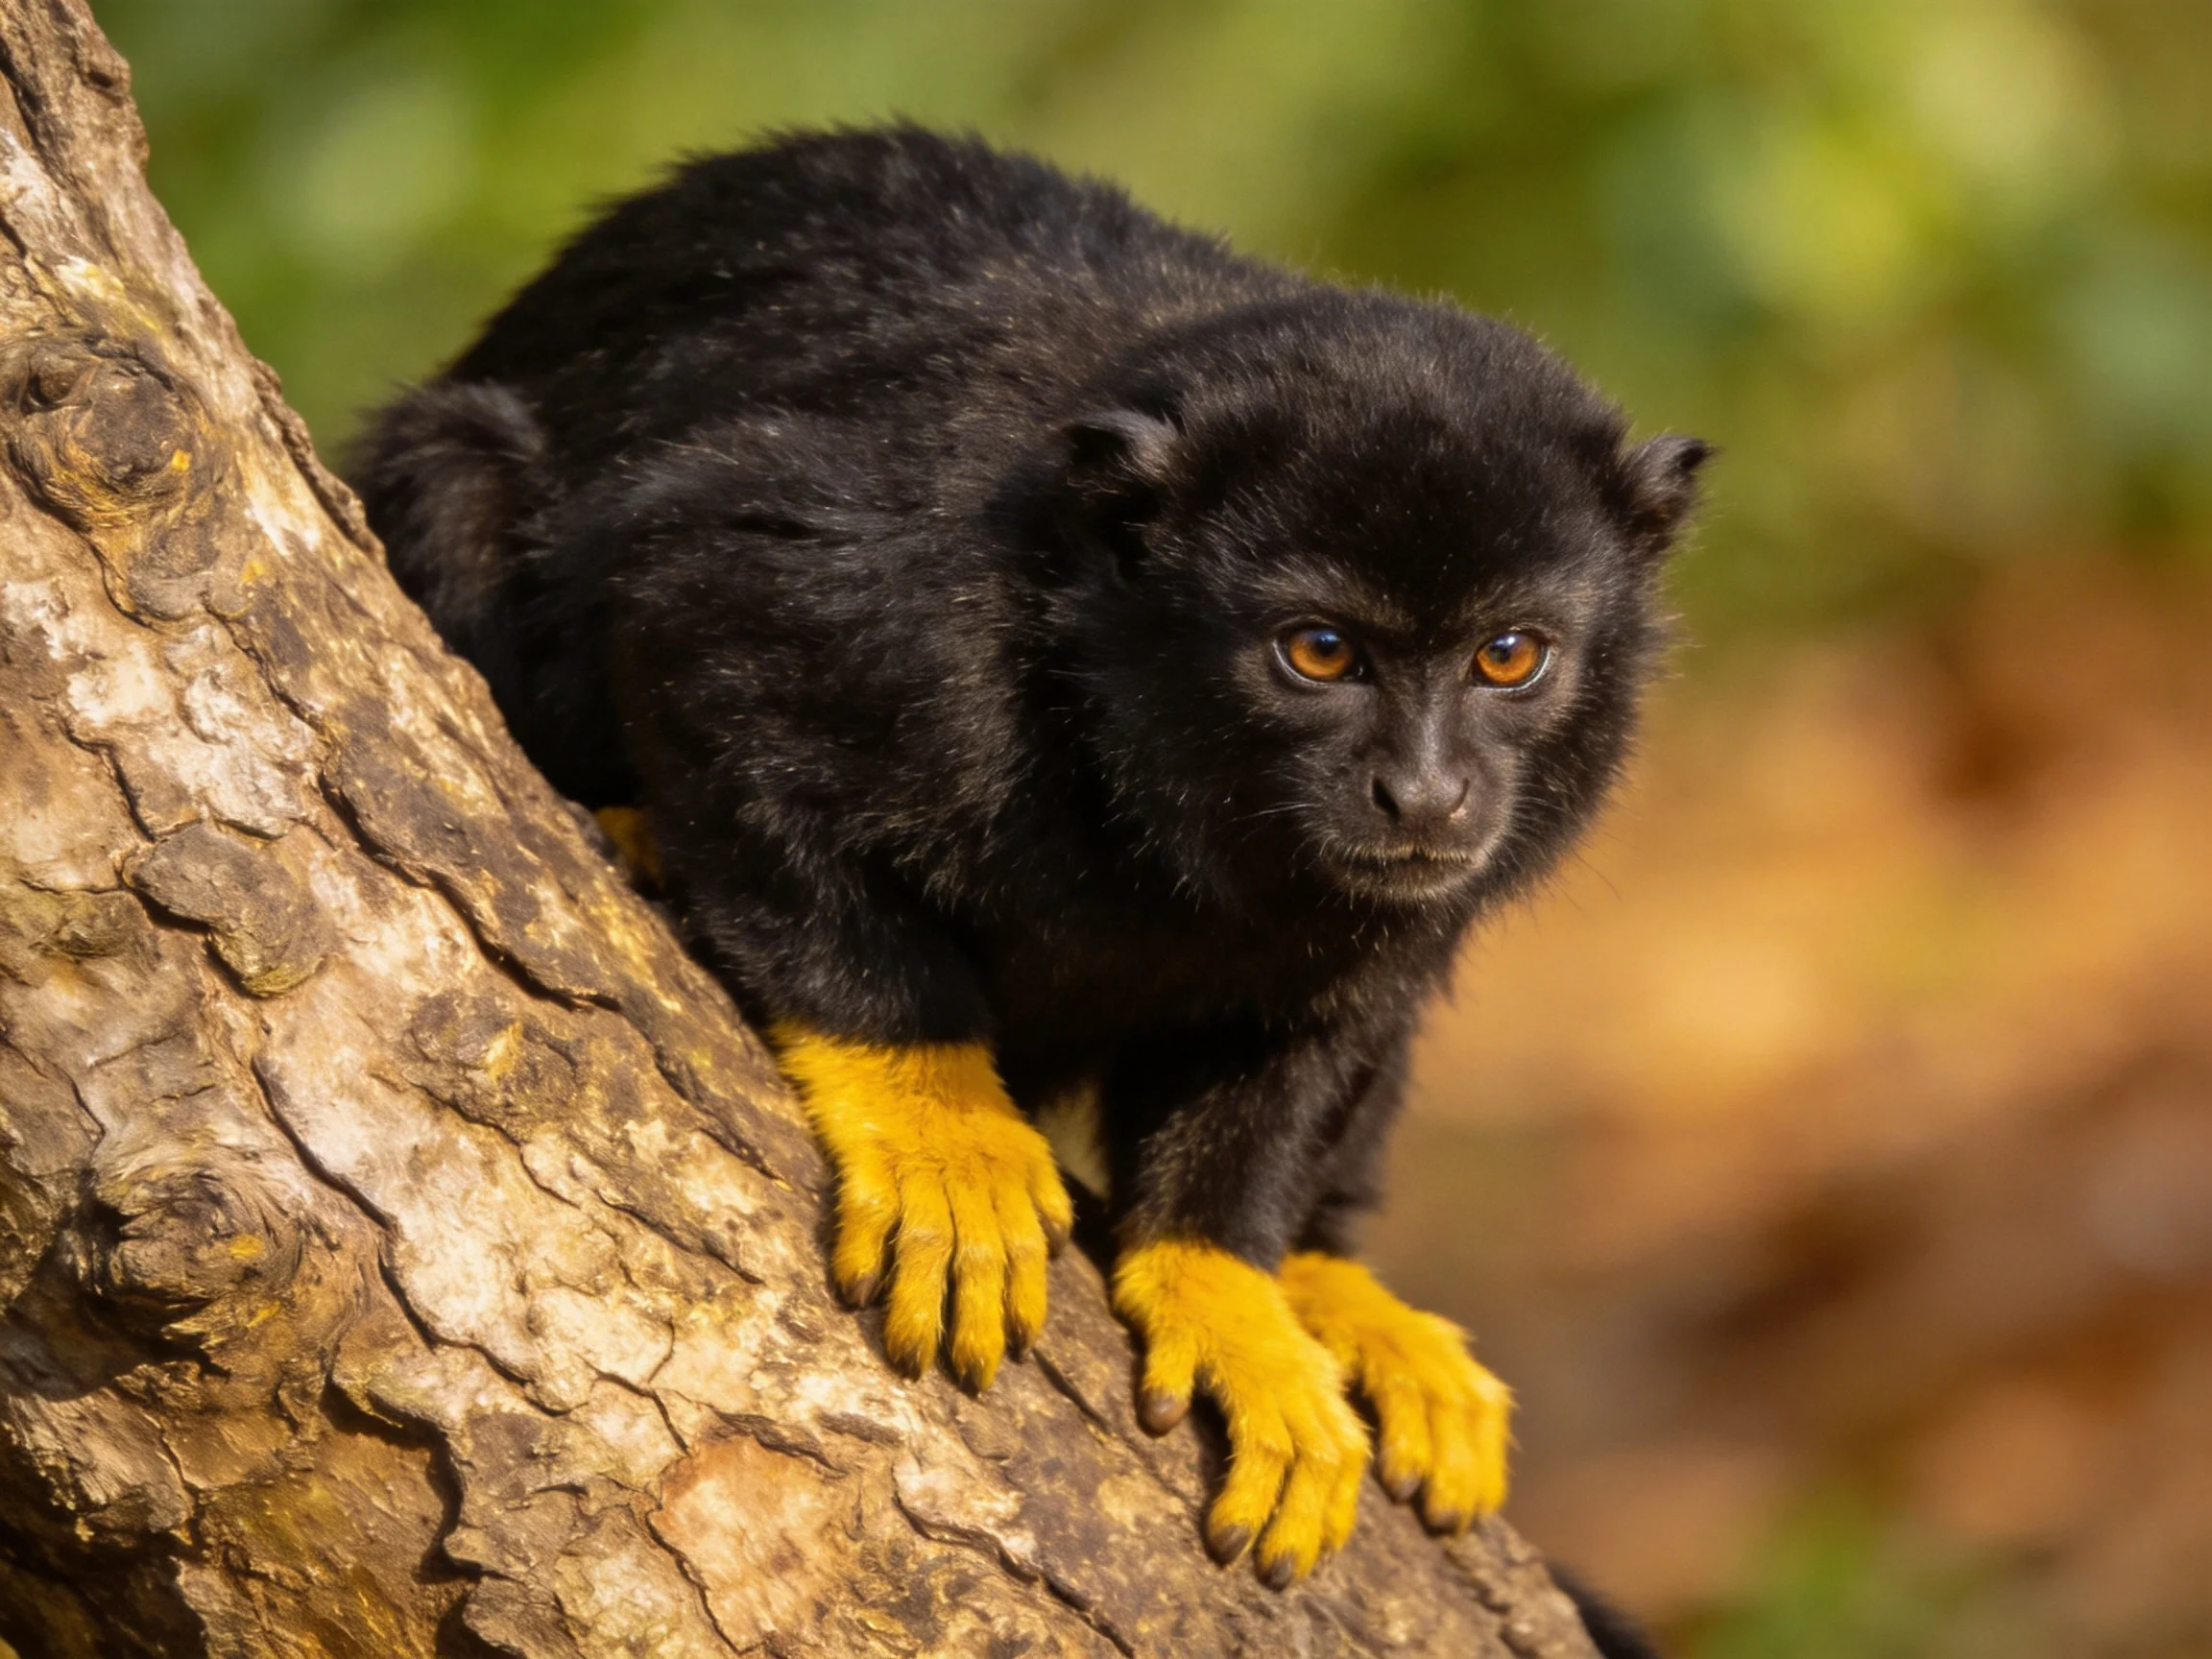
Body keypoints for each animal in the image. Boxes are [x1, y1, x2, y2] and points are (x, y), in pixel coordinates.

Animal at [353, 125, 1706, 1591]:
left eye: (1509, 657)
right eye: (1320, 652)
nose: (1427, 791)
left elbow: (1322, 1021)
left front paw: (1229, 1283)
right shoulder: (907, 601)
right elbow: (694, 608)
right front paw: (933, 1119)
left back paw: (1330, 1280)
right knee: (462, 468)